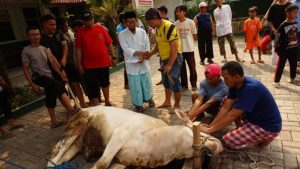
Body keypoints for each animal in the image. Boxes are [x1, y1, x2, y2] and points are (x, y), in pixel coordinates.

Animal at [47, 105, 223, 168]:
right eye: (200, 131)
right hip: (75, 129)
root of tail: (81, 109)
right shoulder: (119, 135)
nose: (219, 145)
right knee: (53, 159)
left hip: (74, 146)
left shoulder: (122, 160)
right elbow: (102, 164)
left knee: (59, 160)